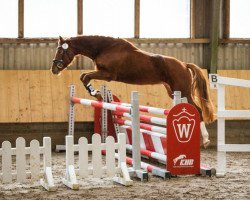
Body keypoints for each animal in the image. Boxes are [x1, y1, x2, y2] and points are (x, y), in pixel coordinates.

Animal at [50, 35, 215, 147]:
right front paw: (97, 94)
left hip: (183, 90)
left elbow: (85, 76)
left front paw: (96, 93)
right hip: (174, 91)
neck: (105, 48)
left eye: (60, 51)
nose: (54, 69)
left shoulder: (108, 74)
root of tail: (184, 64)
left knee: (198, 110)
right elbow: (83, 76)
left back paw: (206, 140)